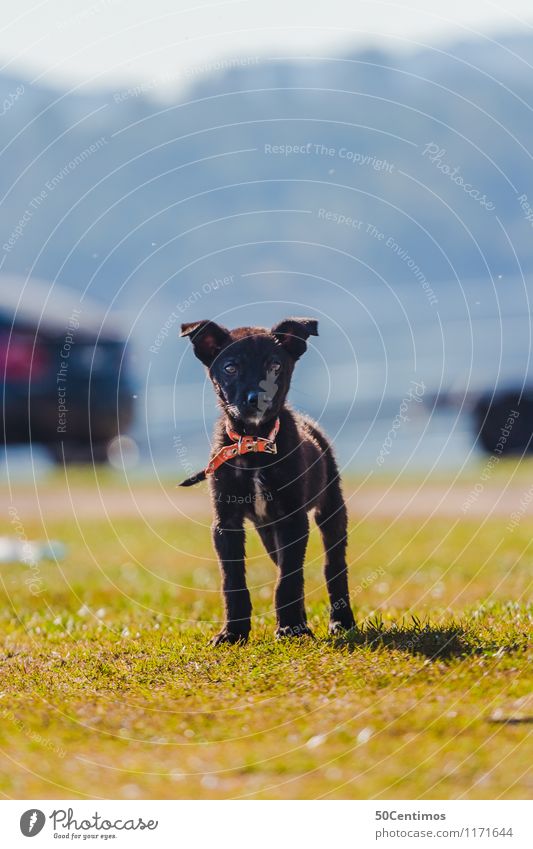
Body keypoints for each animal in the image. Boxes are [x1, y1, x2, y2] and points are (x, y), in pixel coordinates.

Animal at [179, 318, 354, 644]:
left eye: (275, 365)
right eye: (230, 367)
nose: (257, 397)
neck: (254, 445)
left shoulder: (293, 519)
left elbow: (288, 579)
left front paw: (289, 627)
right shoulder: (226, 523)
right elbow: (234, 580)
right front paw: (233, 632)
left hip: (330, 510)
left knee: (333, 566)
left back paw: (341, 621)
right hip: (269, 533)